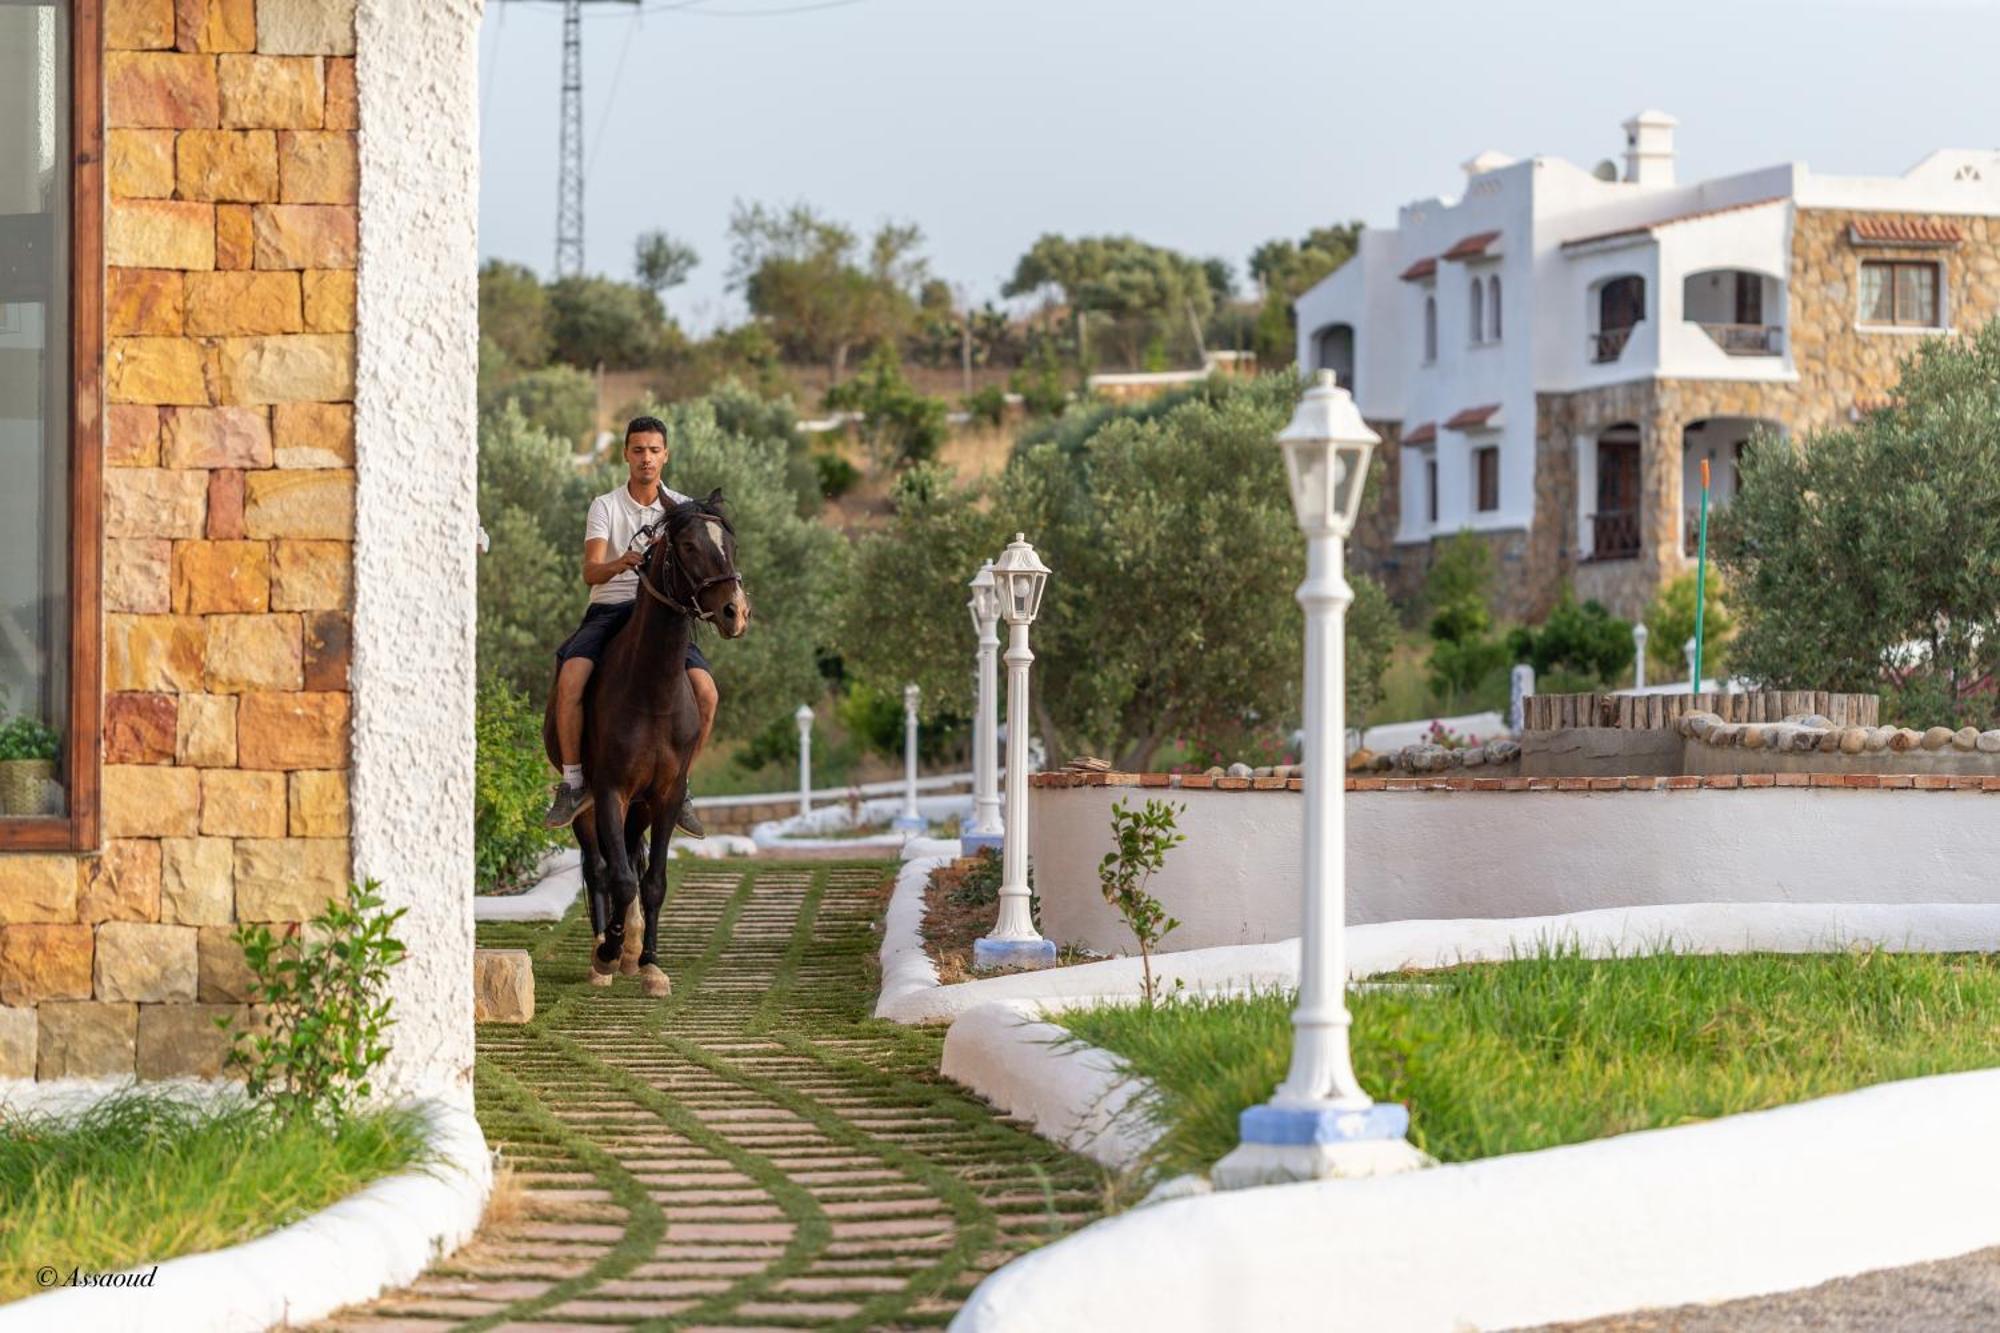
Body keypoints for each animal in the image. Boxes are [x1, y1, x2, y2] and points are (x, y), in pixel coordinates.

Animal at [544, 488, 752, 984]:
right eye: (690, 546)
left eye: (731, 545)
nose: (736, 612)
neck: (652, 691)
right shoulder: (609, 791)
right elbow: (618, 876)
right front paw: (609, 951)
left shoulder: (666, 794)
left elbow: (653, 880)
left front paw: (650, 961)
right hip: (587, 805)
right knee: (601, 867)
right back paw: (605, 950)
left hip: (640, 805)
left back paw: (631, 943)